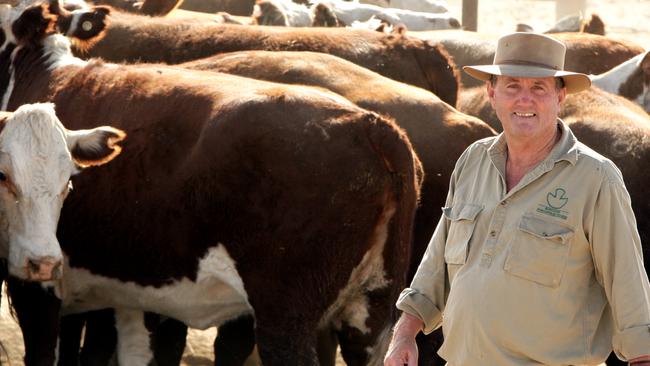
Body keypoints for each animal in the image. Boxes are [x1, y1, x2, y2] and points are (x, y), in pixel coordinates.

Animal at [0, 2, 420, 366]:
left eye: (68, 184)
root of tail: (372, 124)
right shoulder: (112, 289)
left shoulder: (38, 284)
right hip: (372, 314)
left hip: (286, 318)